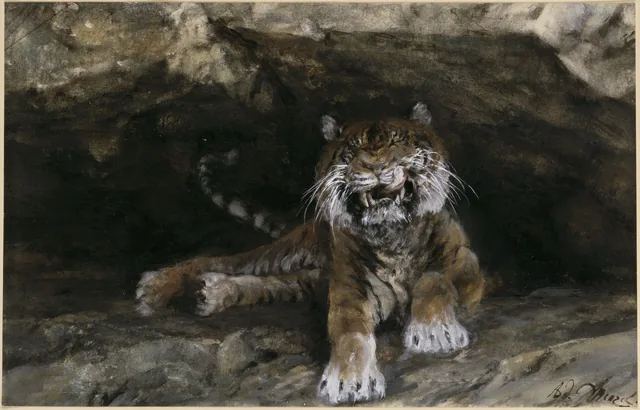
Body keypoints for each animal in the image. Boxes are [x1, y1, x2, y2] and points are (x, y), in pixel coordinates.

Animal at [135, 102, 486, 405]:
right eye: (353, 151)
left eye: (397, 142)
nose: (375, 167)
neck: (392, 234)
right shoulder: (349, 290)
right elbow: (350, 333)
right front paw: (349, 380)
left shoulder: (467, 268)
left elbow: (434, 280)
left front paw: (432, 333)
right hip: (289, 253)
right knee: (221, 261)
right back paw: (155, 286)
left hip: (307, 281)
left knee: (269, 284)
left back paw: (212, 292)